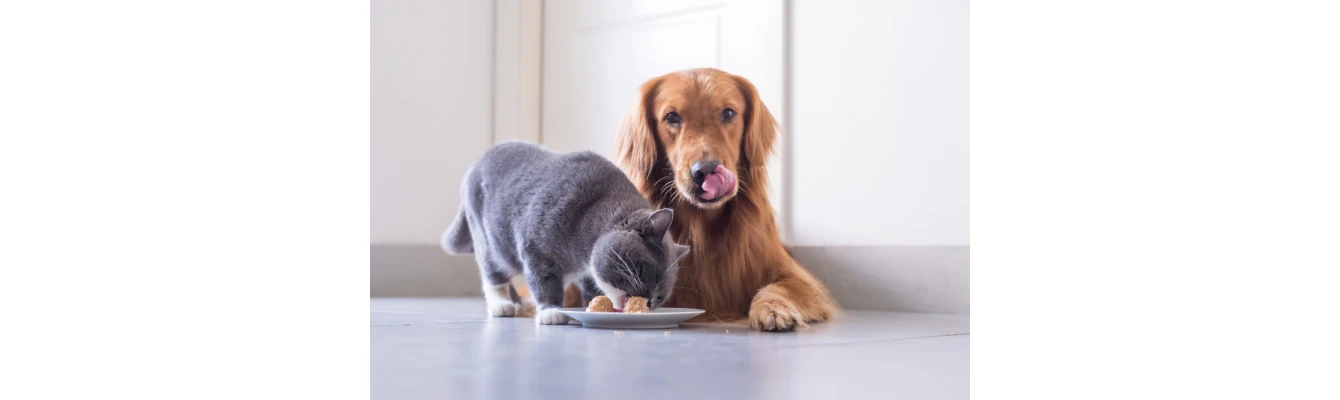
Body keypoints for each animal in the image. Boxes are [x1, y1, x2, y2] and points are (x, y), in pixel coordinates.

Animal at [442, 141, 691, 326]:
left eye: (660, 297)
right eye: (646, 271)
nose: (648, 301)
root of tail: (476, 163)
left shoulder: (587, 272)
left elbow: (591, 288)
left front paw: (593, 306)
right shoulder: (536, 250)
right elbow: (544, 281)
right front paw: (551, 311)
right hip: (488, 239)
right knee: (493, 274)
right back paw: (502, 305)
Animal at [613, 68, 830, 331]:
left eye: (728, 113)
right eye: (672, 117)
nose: (705, 171)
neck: (702, 227)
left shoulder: (795, 276)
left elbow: (776, 288)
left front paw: (772, 308)